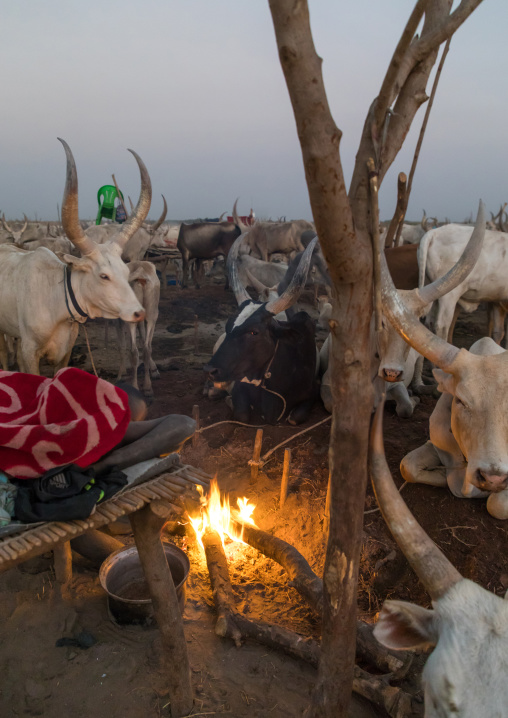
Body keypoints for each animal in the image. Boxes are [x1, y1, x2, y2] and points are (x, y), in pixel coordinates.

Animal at [0, 139, 148, 375]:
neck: (57, 300)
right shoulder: (30, 352)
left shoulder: (65, 352)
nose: (138, 313)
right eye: (103, 276)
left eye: (126, 272)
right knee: (4, 354)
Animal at [204, 234, 318, 425]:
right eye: (228, 326)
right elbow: (242, 415)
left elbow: (295, 418)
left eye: (254, 332)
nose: (209, 371)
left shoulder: (311, 393)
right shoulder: (240, 386)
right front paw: (228, 400)